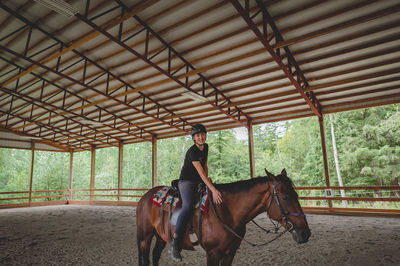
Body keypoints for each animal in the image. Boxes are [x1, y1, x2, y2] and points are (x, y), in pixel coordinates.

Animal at [136, 169, 310, 264]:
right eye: (285, 197)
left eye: (297, 195)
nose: (306, 233)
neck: (228, 212)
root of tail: (145, 196)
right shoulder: (212, 253)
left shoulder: (230, 253)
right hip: (145, 237)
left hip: (161, 236)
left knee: (155, 255)